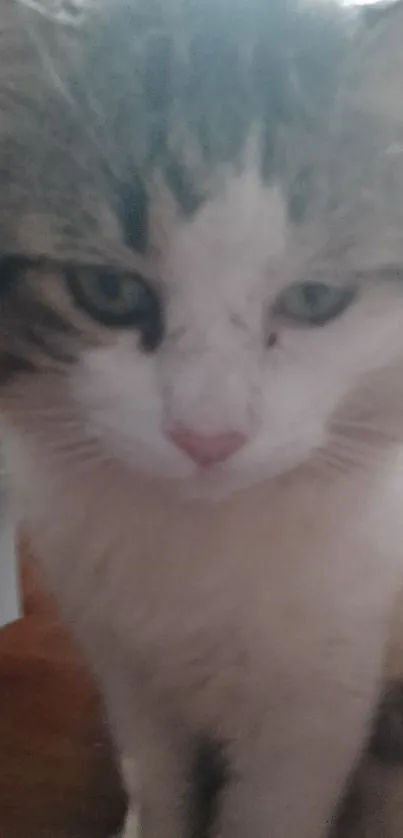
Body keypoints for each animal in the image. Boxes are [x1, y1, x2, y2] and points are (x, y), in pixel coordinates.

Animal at [0, 1, 403, 838]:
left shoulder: (316, 713)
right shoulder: (127, 673)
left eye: (315, 298)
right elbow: (158, 783)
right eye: (108, 291)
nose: (207, 438)